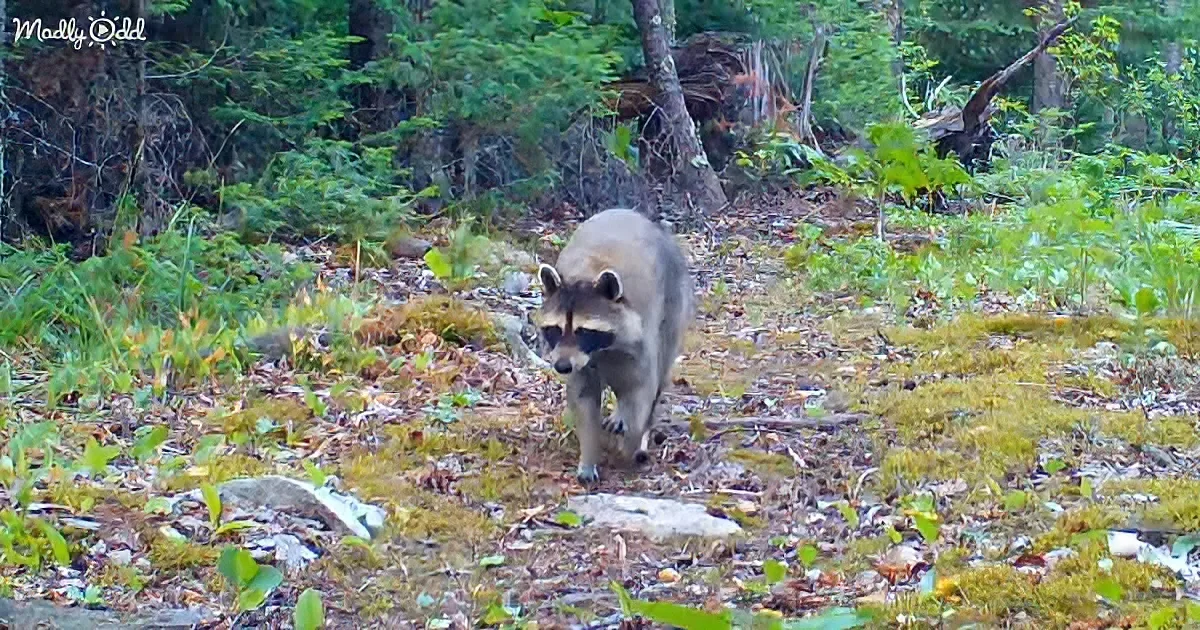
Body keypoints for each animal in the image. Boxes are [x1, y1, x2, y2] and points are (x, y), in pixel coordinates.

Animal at [536, 208, 695, 484]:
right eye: (555, 329)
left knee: (660, 373)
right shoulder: (580, 364)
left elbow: (641, 390)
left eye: (583, 331)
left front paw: (633, 442)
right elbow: (584, 401)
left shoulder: (640, 342)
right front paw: (588, 455)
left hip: (674, 304)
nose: (562, 367)